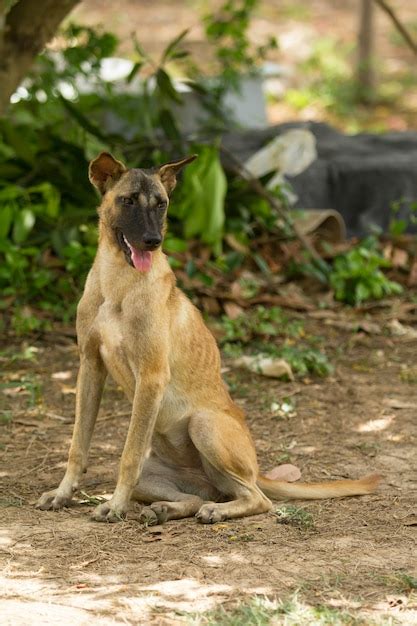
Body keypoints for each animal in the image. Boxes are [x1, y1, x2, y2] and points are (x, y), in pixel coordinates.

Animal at [36, 151, 380, 520]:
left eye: (162, 204)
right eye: (128, 201)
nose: (153, 241)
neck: (119, 283)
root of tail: (255, 470)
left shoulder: (151, 377)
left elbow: (128, 455)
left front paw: (114, 506)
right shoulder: (90, 366)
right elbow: (78, 444)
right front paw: (63, 493)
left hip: (204, 425)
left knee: (258, 499)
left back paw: (217, 511)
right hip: (157, 475)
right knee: (197, 498)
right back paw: (166, 510)